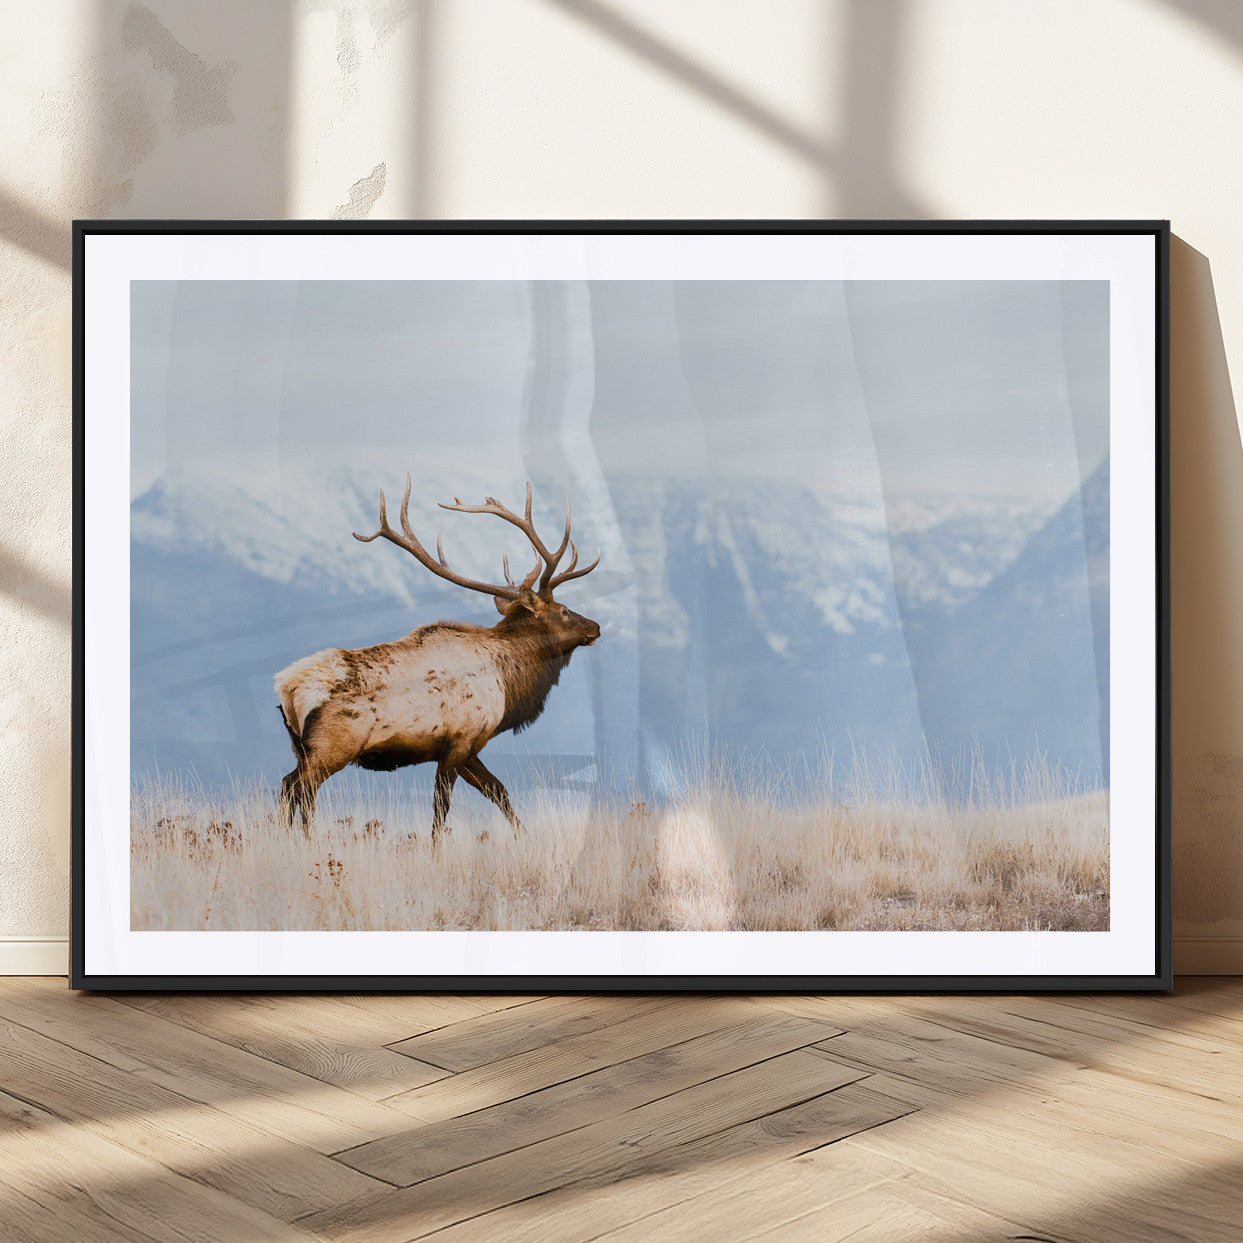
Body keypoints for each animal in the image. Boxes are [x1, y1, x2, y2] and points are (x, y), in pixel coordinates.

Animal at [274, 479, 601, 846]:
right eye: (564, 610)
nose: (595, 627)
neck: (508, 681)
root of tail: (287, 687)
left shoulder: (471, 746)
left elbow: (499, 791)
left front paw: (525, 837)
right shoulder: (460, 740)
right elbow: (442, 805)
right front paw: (436, 849)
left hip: (301, 747)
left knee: (290, 785)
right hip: (332, 746)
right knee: (300, 788)